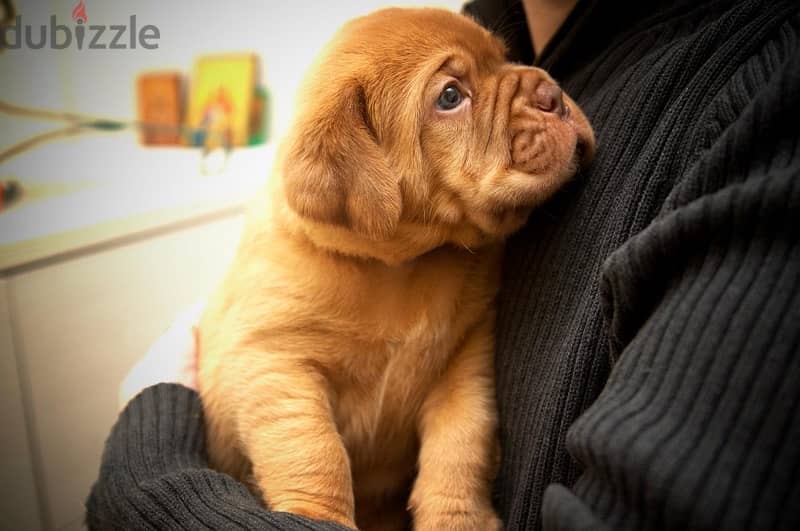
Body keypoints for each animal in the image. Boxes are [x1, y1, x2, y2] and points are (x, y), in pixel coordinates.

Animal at [197, 8, 592, 531]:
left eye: (504, 57)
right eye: (450, 97)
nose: (552, 94)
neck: (400, 268)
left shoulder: (464, 360)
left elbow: (461, 443)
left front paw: (458, 519)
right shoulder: (273, 361)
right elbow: (311, 451)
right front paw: (315, 517)